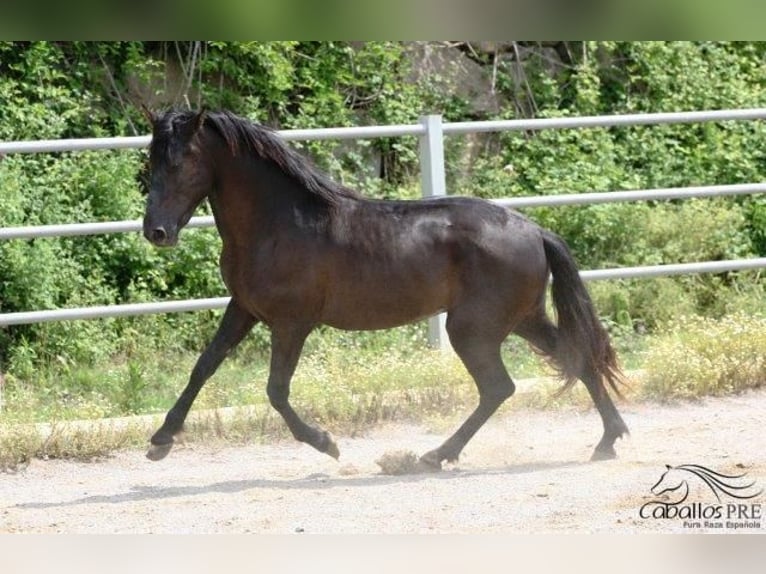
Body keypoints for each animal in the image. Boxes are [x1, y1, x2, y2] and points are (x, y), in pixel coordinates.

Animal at [141, 109, 628, 472]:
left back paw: (435, 456)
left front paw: (326, 443)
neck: (281, 222)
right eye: (150, 161)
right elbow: (204, 366)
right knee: (577, 358)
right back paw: (608, 440)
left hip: (473, 329)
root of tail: (535, 230)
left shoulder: (291, 323)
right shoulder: (244, 308)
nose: (155, 232)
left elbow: (276, 391)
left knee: (499, 387)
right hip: (524, 319)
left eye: (180, 162)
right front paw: (161, 439)